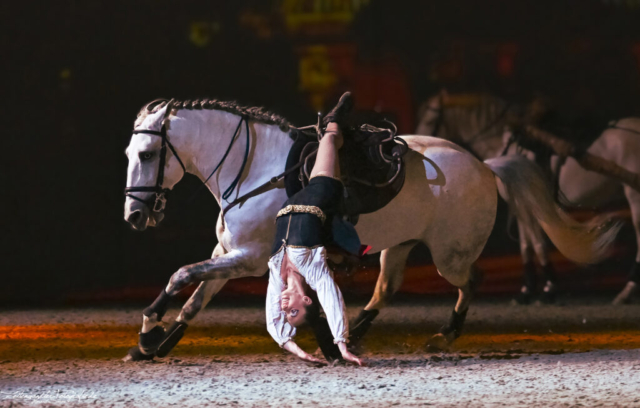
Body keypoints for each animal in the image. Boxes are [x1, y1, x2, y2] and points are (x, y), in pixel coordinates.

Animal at [122, 97, 616, 358]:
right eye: (130, 154)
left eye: (147, 155)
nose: (135, 216)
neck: (255, 169)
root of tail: (484, 165)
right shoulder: (228, 255)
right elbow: (196, 299)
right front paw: (158, 345)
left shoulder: (249, 260)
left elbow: (181, 277)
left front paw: (148, 332)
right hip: (399, 246)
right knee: (386, 289)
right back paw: (354, 334)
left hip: (450, 255)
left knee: (469, 282)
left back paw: (444, 334)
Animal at [416, 91, 636, 304]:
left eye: (429, 119)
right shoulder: (519, 204)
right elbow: (526, 246)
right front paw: (527, 291)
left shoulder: (526, 204)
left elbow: (538, 245)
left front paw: (549, 289)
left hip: (634, 195)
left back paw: (628, 290)